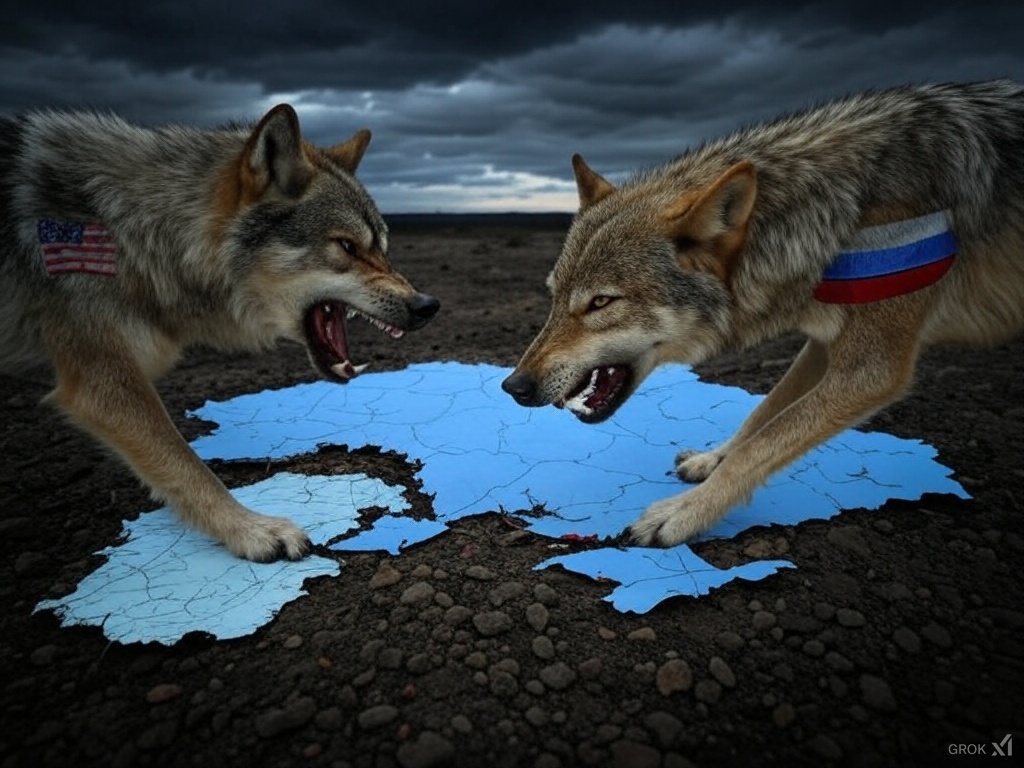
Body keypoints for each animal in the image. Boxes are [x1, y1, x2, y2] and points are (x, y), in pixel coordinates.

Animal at [0, 104, 439, 561]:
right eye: (348, 246)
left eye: (382, 249)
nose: (426, 305)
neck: (130, 227)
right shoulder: (100, 380)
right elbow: (185, 462)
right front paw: (252, 530)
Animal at [502, 79, 1024, 547]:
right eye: (553, 296)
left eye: (600, 302)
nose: (513, 387)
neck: (842, 210)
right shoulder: (824, 342)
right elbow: (762, 417)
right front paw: (711, 460)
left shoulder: (873, 367)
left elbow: (769, 439)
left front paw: (683, 515)